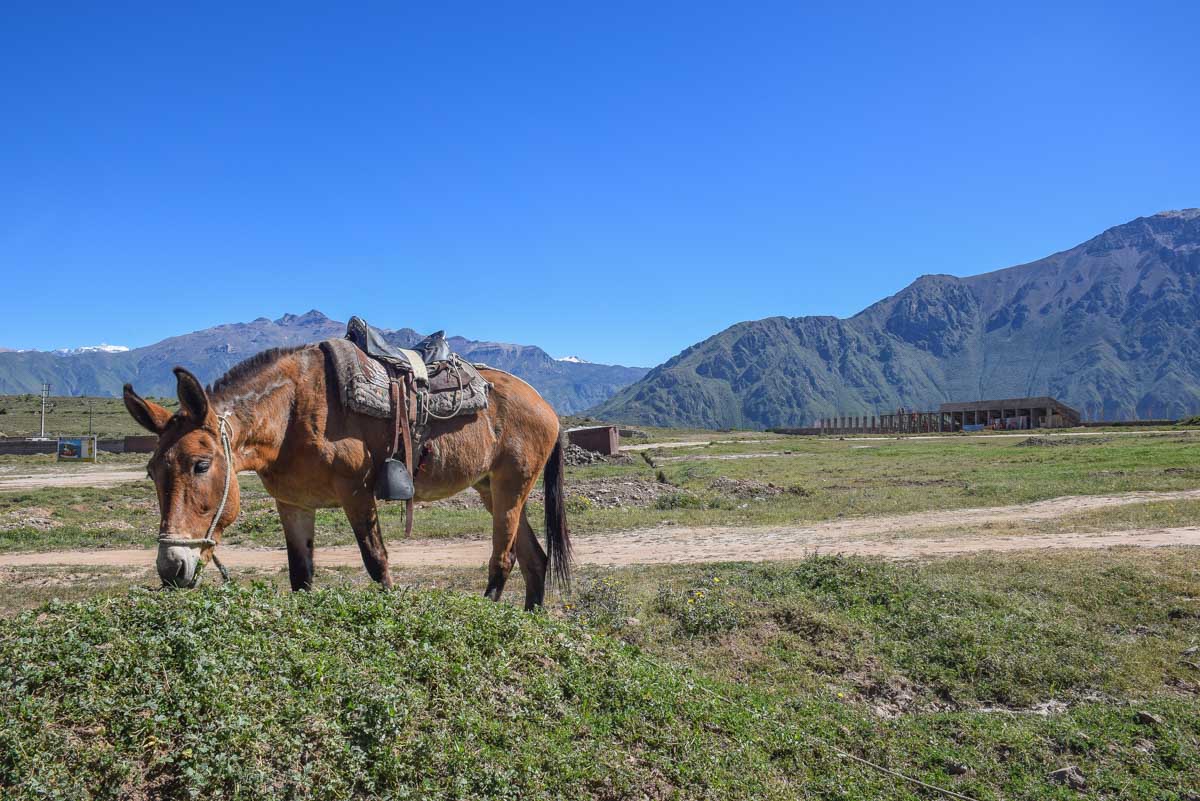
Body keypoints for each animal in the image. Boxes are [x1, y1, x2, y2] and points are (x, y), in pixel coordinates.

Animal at [122, 344, 571, 610]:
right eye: (151, 472)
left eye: (200, 465)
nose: (171, 568)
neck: (292, 412)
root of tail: (546, 404)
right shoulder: (293, 505)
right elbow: (300, 575)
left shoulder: (357, 494)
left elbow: (377, 562)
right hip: (491, 489)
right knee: (535, 559)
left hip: (511, 486)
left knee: (504, 558)